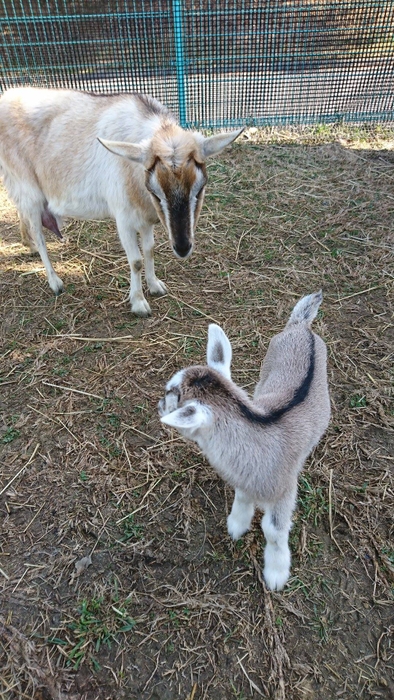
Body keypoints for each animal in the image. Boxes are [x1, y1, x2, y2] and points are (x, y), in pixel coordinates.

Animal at [0, 86, 242, 316]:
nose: (182, 248)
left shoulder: (145, 216)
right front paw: (139, 303)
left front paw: (155, 286)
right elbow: (135, 261)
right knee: (39, 234)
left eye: (199, 189)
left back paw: (29, 245)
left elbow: (149, 249)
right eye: (155, 192)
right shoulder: (124, 217)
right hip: (28, 189)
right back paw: (54, 281)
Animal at [159, 292, 330, 592]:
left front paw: (276, 574)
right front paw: (236, 525)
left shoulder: (285, 491)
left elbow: (273, 531)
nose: (158, 406)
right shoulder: (244, 475)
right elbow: (241, 495)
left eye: (172, 394)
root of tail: (301, 327)